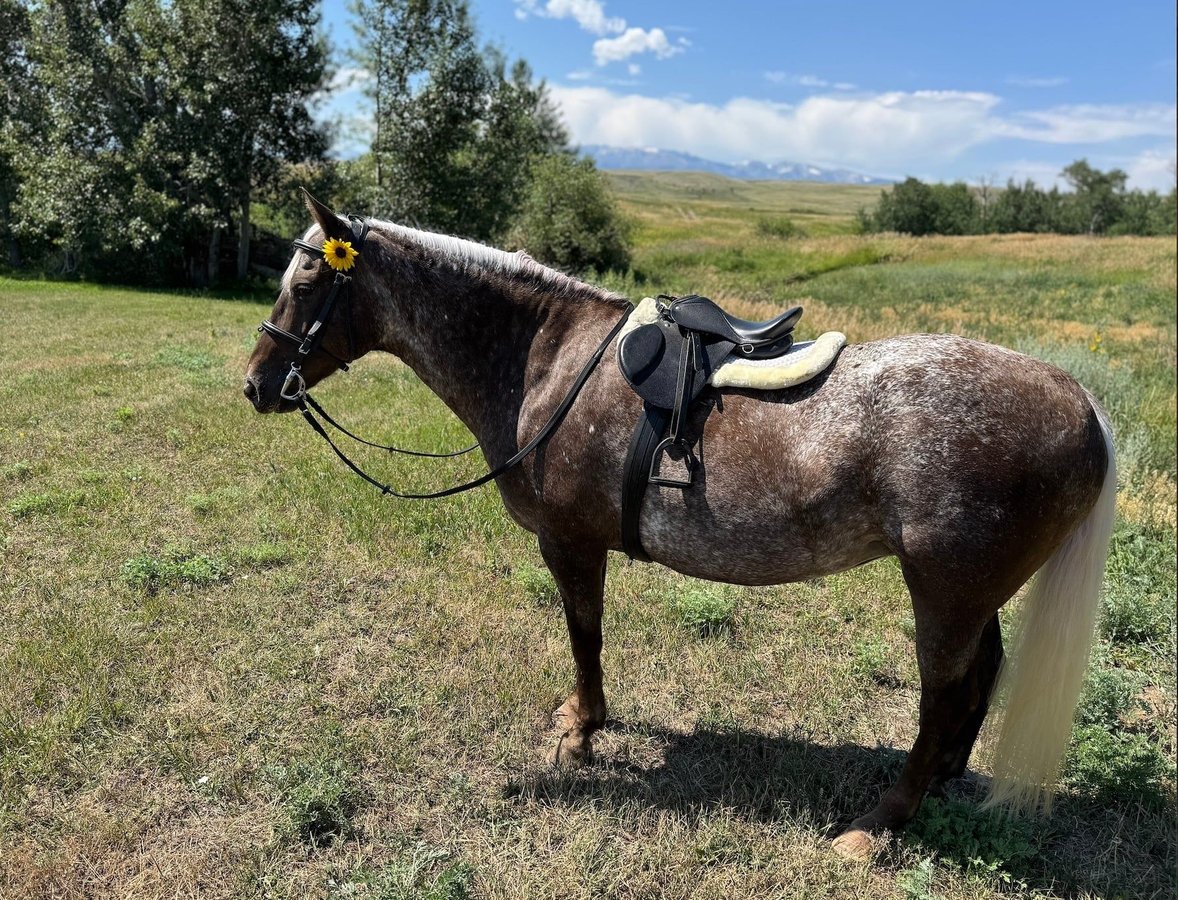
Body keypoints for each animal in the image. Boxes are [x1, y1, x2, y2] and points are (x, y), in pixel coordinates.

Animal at [243, 193, 1116, 859]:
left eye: (309, 280)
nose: (255, 382)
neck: (548, 361)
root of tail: (1080, 402)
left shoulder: (569, 541)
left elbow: (584, 633)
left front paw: (582, 733)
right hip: (971, 594)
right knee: (980, 677)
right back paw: (941, 784)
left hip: (943, 592)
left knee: (944, 694)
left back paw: (881, 821)